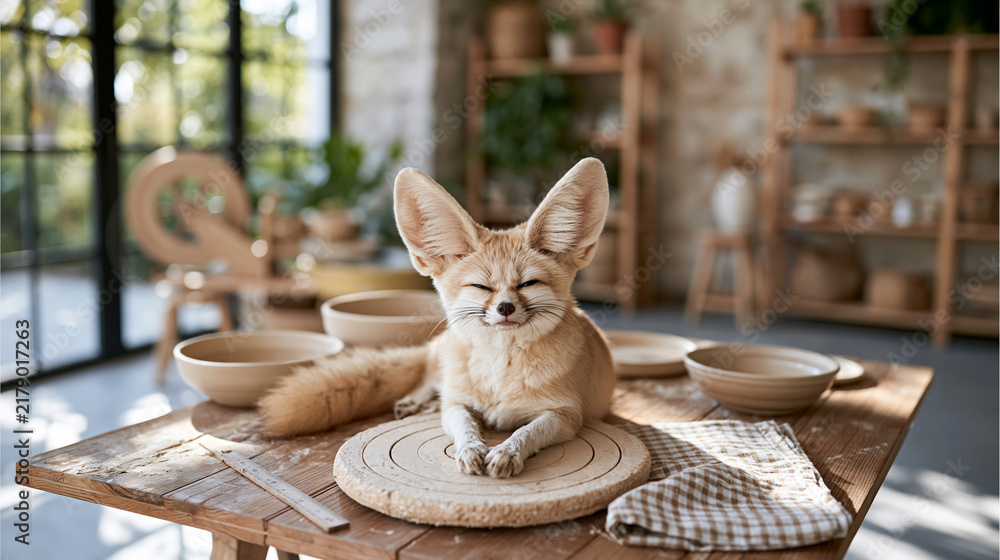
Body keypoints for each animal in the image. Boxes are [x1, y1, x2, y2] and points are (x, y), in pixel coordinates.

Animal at [258, 157, 616, 478]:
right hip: (442, 370)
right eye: (481, 286)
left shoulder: (566, 416)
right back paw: (417, 402)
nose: (505, 308)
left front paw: (507, 452)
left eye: (528, 284)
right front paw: (470, 449)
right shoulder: (458, 403)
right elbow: (463, 423)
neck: (499, 369)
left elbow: (527, 432)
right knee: (428, 380)